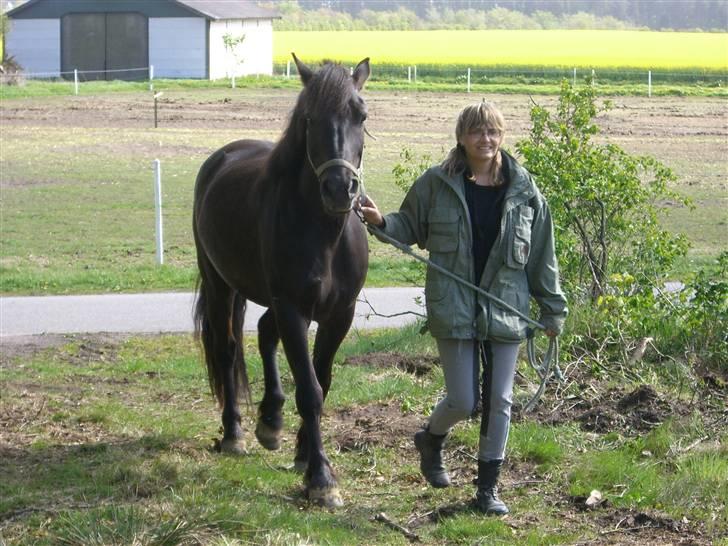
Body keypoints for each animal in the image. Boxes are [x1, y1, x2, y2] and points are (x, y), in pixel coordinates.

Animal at [192, 55, 370, 506]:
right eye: (309, 118)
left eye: (361, 115)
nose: (340, 189)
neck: (324, 234)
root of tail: (223, 156)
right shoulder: (293, 309)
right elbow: (309, 390)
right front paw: (321, 478)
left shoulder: (339, 314)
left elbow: (323, 382)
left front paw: (304, 453)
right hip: (220, 285)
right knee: (227, 349)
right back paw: (234, 433)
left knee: (262, 332)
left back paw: (270, 419)